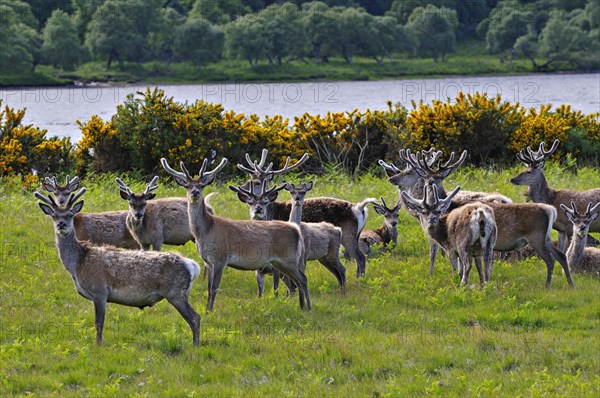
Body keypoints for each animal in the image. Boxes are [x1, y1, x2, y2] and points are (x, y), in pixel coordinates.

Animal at [34, 189, 202, 346]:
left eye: (70, 215)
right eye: (54, 215)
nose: (61, 225)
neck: (78, 264)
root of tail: (192, 265)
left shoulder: (99, 291)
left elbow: (98, 323)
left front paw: (98, 345)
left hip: (176, 292)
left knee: (195, 318)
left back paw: (195, 345)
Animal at [162, 158, 312, 310]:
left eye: (202, 185)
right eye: (187, 185)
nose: (195, 192)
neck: (206, 232)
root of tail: (296, 230)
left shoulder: (220, 258)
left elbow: (214, 288)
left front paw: (210, 311)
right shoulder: (208, 262)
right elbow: (208, 288)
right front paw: (206, 310)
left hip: (289, 259)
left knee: (303, 279)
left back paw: (309, 307)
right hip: (280, 262)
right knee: (297, 281)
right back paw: (302, 306)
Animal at [238, 149, 370, 276]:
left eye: (257, 182)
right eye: (250, 179)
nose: (240, 189)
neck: (272, 213)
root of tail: (359, 208)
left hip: (348, 234)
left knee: (360, 257)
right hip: (355, 235)